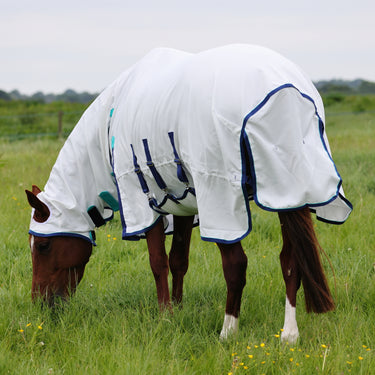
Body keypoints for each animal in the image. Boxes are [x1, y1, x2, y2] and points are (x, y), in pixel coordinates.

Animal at [25, 44, 352, 344]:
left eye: (42, 246)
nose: (40, 305)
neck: (108, 125)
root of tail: (284, 89)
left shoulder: (144, 201)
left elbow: (157, 261)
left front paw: (165, 316)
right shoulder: (182, 201)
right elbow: (178, 259)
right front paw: (178, 308)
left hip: (222, 199)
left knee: (236, 265)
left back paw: (227, 331)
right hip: (286, 192)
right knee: (290, 261)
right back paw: (289, 334)